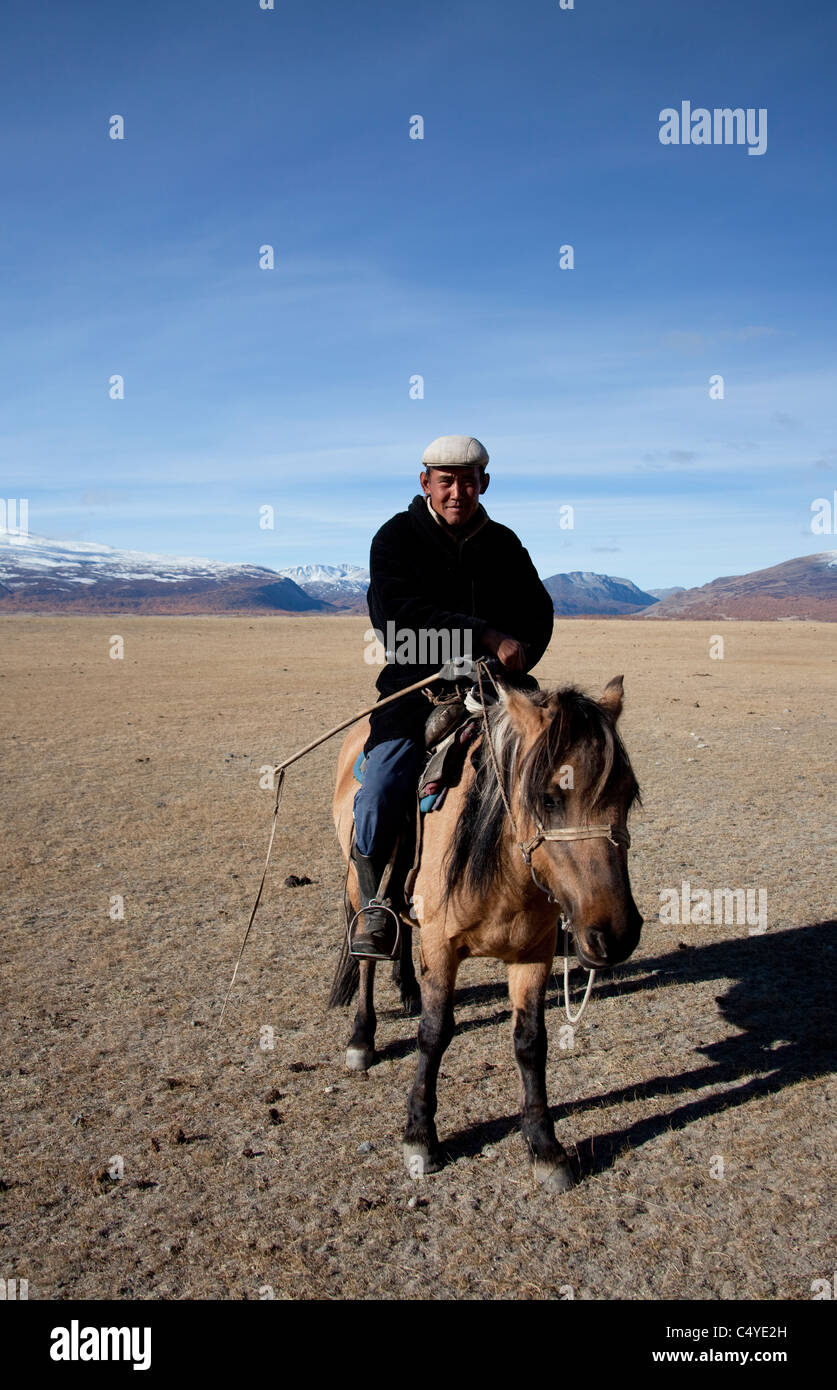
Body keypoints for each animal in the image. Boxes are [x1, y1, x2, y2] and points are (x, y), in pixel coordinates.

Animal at [325, 675, 639, 1195]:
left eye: (629, 794)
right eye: (549, 798)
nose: (615, 935)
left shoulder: (535, 952)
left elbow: (531, 1042)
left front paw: (545, 1147)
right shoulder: (441, 946)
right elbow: (434, 1033)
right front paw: (420, 1136)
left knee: (400, 923)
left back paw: (407, 990)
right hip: (357, 876)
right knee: (368, 947)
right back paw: (361, 1037)